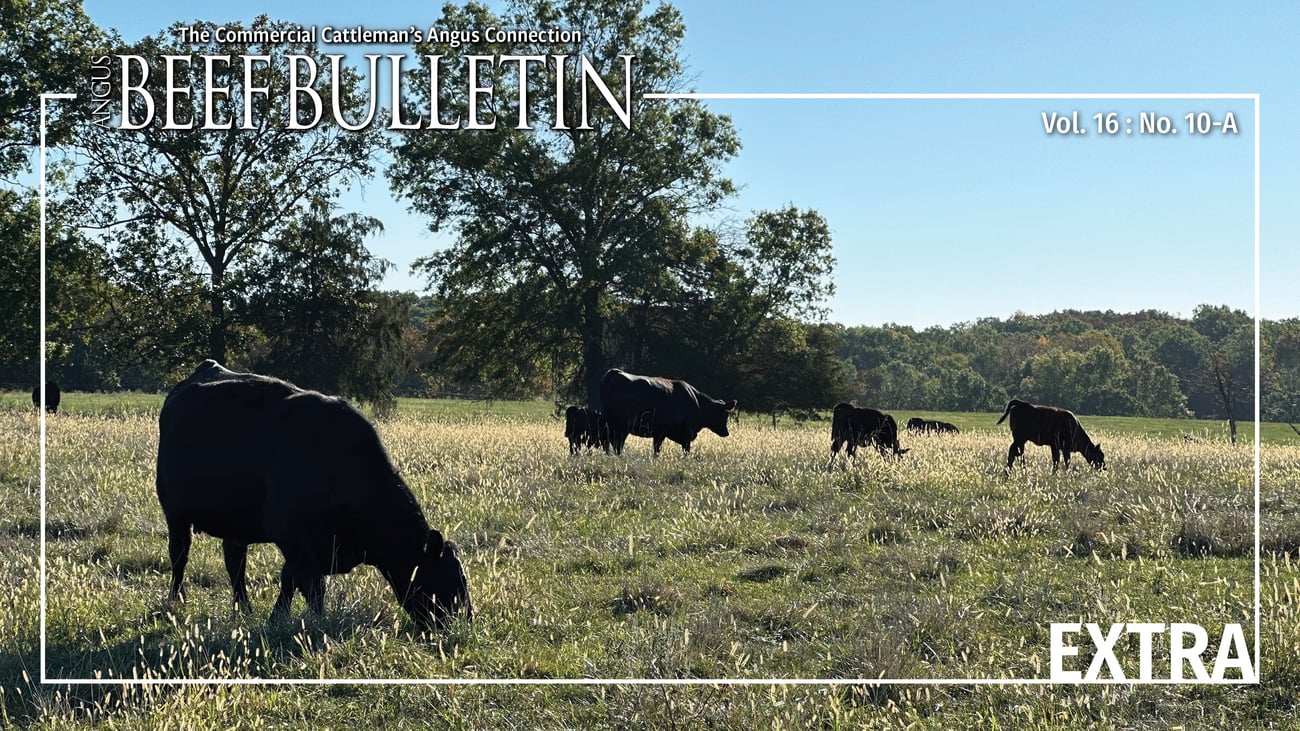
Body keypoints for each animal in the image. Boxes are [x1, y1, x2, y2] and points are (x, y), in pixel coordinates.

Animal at [156, 360, 471, 630]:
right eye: (449, 580)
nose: (460, 624)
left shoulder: (307, 546)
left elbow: (289, 580)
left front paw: (277, 618)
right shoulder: (291, 534)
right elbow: (313, 587)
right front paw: (318, 622)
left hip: (236, 524)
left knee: (235, 564)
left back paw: (243, 610)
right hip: (174, 512)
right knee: (179, 554)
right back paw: (176, 601)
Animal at [599, 369, 736, 455]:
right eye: (724, 415)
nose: (726, 433)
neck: (697, 404)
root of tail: (616, 371)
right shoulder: (678, 434)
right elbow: (674, 451)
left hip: (611, 425)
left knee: (610, 443)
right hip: (620, 426)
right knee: (615, 444)